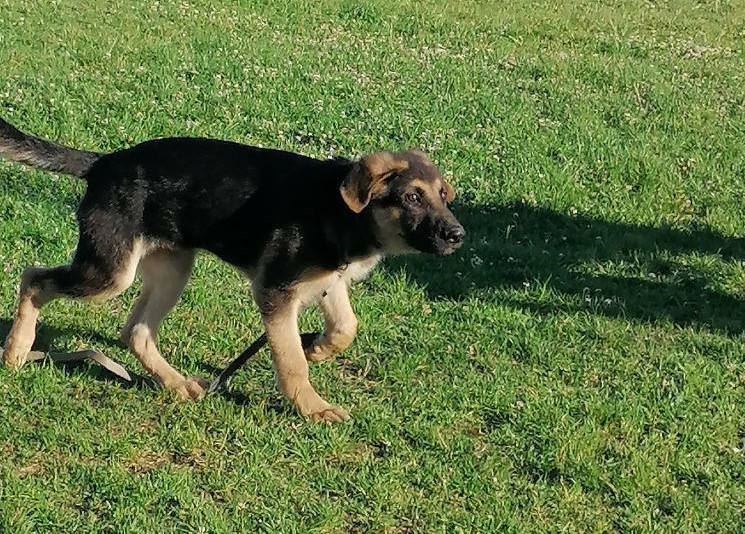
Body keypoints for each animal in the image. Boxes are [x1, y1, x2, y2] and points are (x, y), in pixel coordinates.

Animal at [0, 117, 464, 422]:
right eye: (412, 198)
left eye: (443, 195)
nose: (458, 235)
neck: (339, 211)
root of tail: (102, 164)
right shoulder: (275, 291)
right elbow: (290, 361)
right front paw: (312, 407)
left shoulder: (326, 281)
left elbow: (346, 326)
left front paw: (319, 349)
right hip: (110, 272)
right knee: (34, 279)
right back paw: (17, 350)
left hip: (171, 270)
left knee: (136, 332)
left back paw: (178, 384)